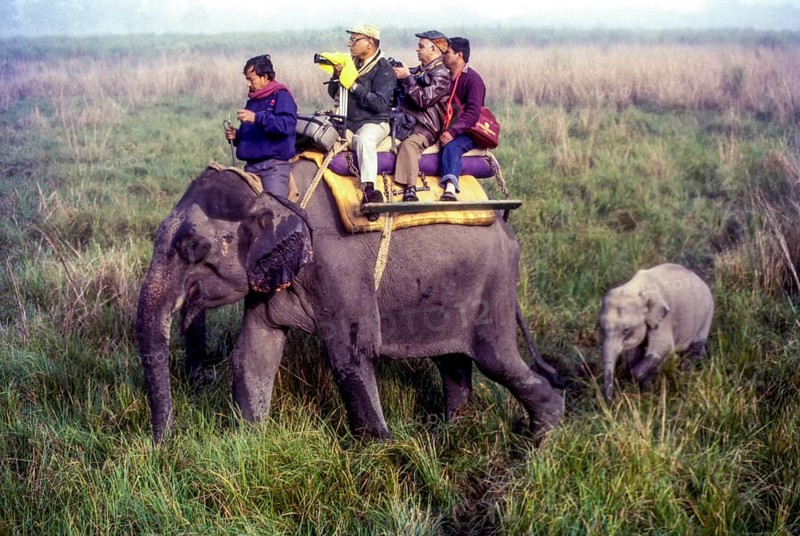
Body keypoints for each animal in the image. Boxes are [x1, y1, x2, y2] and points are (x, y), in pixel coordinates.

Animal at [135, 159, 565, 444]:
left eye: (193, 247)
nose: (163, 447)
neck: (270, 188)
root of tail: (506, 226)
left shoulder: (338, 268)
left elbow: (350, 355)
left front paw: (381, 450)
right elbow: (253, 351)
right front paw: (249, 440)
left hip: (493, 287)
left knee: (496, 360)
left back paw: (540, 439)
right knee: (452, 359)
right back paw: (454, 429)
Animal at [599, 263, 714, 403]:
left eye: (626, 330)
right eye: (601, 328)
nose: (611, 402)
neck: (634, 288)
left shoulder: (665, 318)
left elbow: (662, 347)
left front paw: (646, 384)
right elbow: (634, 354)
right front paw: (647, 386)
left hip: (707, 313)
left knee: (696, 345)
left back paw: (687, 370)